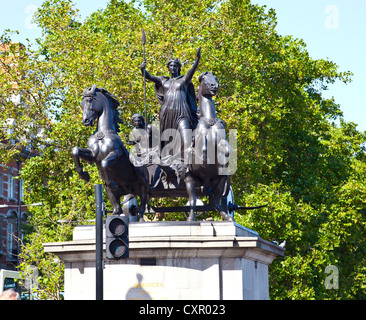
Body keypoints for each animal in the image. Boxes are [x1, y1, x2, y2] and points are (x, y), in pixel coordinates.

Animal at [72, 85, 148, 220]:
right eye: (81, 103)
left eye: (89, 100)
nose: (85, 121)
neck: (103, 134)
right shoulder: (92, 156)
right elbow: (75, 150)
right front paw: (84, 175)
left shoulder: (115, 154)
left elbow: (104, 163)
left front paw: (111, 182)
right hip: (119, 192)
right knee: (117, 207)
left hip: (143, 184)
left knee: (142, 205)